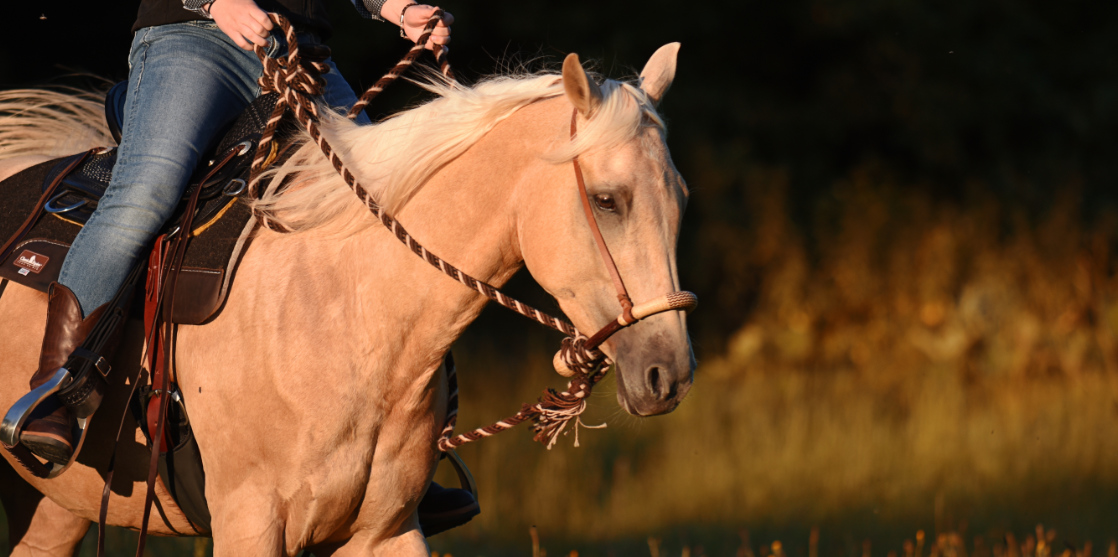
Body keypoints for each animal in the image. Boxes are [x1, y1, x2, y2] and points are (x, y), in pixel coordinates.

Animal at [0, 45, 693, 554]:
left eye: (679, 199)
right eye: (606, 199)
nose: (669, 375)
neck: (347, 308)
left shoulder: (387, 530)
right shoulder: (250, 523)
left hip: (58, 505)